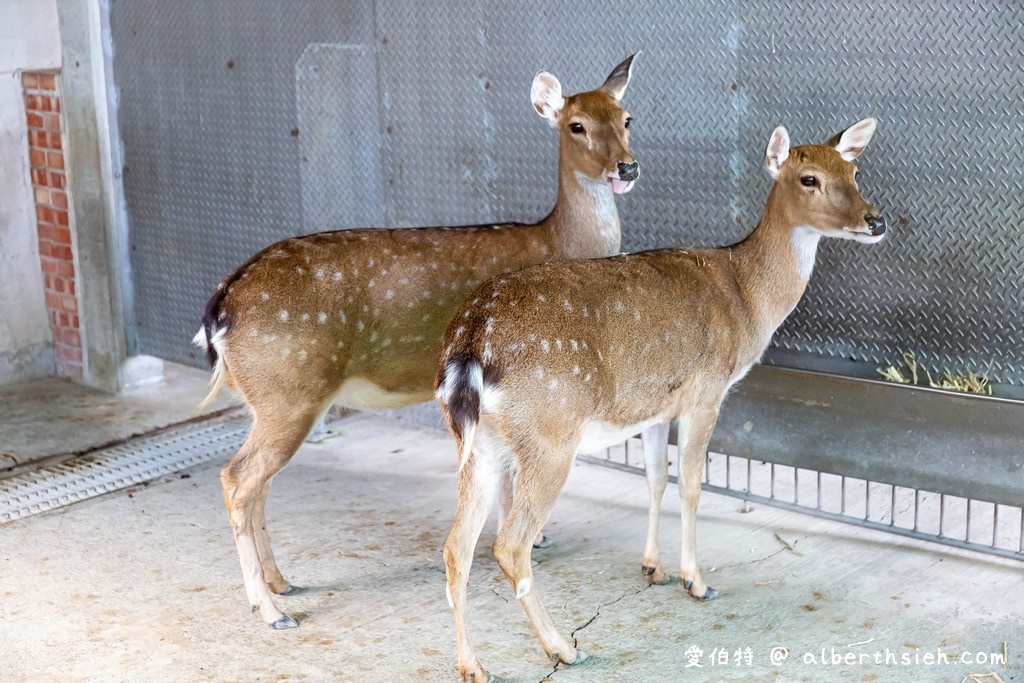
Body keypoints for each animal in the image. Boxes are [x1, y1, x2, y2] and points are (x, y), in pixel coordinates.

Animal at [192, 54, 638, 630]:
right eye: (576, 125)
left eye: (626, 118)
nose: (626, 168)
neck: (556, 241)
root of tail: (218, 309)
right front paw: (533, 539)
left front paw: (535, 539)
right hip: (288, 391)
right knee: (238, 478)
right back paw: (270, 610)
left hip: (268, 399)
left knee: (257, 483)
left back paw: (281, 583)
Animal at [436, 116, 884, 679]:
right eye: (809, 179)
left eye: (854, 170)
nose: (876, 220)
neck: (746, 296)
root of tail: (470, 345)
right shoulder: (706, 390)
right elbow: (692, 486)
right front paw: (697, 581)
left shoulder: (654, 406)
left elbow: (655, 479)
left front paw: (653, 567)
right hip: (548, 438)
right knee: (510, 545)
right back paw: (562, 648)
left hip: (478, 444)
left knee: (456, 547)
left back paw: (472, 666)